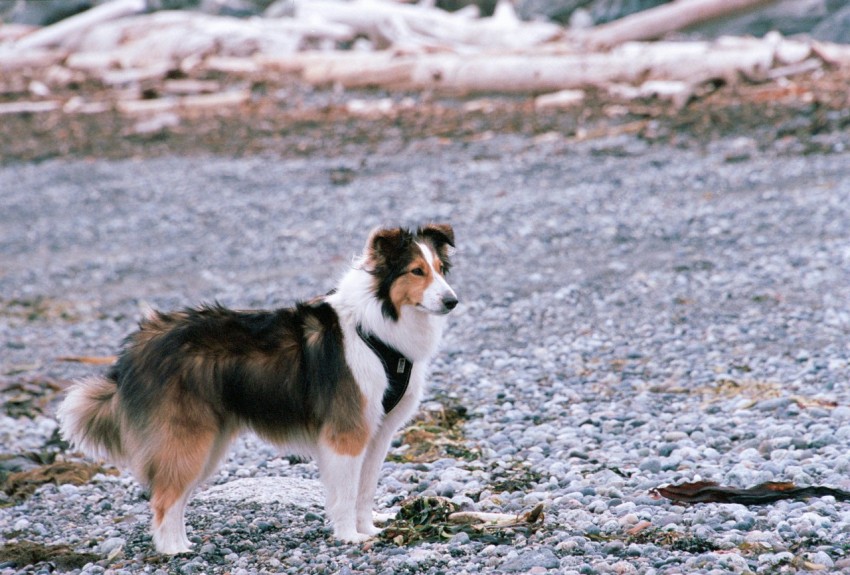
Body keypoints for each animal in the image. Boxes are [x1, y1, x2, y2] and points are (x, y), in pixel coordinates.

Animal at [57, 224, 458, 552]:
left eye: (440, 269)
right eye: (416, 271)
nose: (452, 301)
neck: (377, 329)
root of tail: (138, 347)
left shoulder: (377, 434)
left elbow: (365, 490)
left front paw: (369, 530)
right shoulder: (347, 433)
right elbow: (345, 493)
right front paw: (348, 536)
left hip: (206, 443)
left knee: (174, 496)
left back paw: (183, 543)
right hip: (188, 439)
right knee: (163, 499)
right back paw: (174, 551)